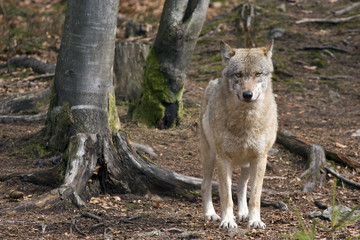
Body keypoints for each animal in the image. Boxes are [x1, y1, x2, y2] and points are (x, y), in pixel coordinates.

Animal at [198, 39, 278, 229]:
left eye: (257, 74)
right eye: (238, 75)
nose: (247, 94)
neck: (245, 122)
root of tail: (213, 80)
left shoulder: (260, 158)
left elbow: (254, 196)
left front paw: (255, 220)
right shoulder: (223, 159)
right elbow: (226, 196)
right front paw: (227, 220)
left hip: (247, 165)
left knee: (241, 187)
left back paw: (243, 214)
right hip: (210, 158)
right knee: (205, 185)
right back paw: (210, 214)